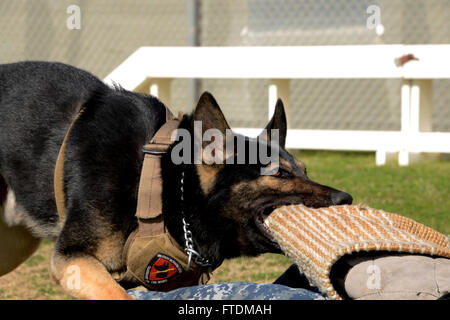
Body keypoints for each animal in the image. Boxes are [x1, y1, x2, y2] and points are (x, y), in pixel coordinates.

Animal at [0, 60, 352, 300]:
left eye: (304, 170)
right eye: (279, 173)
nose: (346, 199)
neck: (165, 184)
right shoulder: (73, 261)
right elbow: (118, 294)